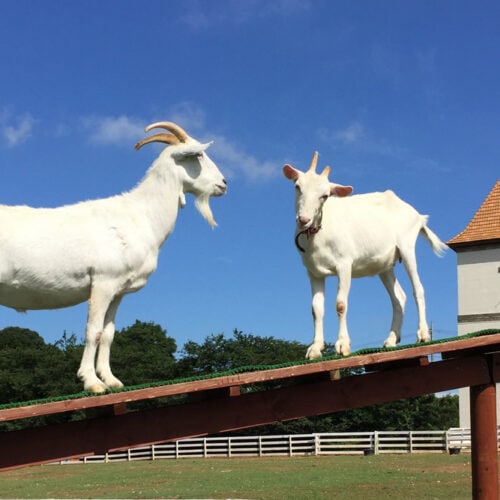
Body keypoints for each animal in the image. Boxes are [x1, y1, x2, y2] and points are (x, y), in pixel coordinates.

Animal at [0, 122, 227, 394]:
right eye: (199, 155)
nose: (223, 184)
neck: (140, 215)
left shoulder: (118, 290)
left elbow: (108, 334)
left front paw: (111, 380)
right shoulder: (102, 281)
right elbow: (93, 331)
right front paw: (92, 382)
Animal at [284, 152, 448, 360]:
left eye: (325, 196)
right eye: (297, 187)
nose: (303, 219)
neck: (320, 231)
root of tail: (418, 216)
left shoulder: (344, 265)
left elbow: (340, 304)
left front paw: (342, 345)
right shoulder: (314, 272)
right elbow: (316, 309)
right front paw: (315, 349)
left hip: (407, 247)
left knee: (418, 289)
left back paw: (423, 334)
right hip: (384, 265)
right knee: (399, 297)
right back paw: (391, 339)